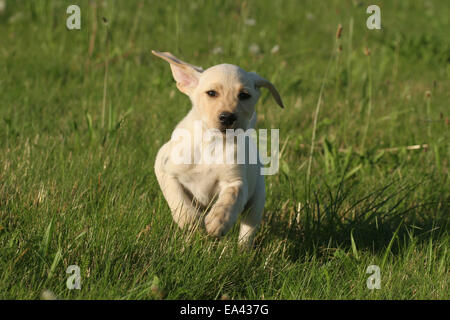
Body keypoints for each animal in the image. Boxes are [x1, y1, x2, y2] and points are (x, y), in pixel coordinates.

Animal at [153, 50, 284, 248]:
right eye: (211, 93)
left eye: (244, 95)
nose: (228, 117)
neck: (212, 143)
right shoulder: (165, 168)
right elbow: (176, 195)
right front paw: (189, 220)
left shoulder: (237, 181)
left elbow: (232, 195)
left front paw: (218, 221)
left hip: (257, 200)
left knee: (248, 229)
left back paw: (242, 250)